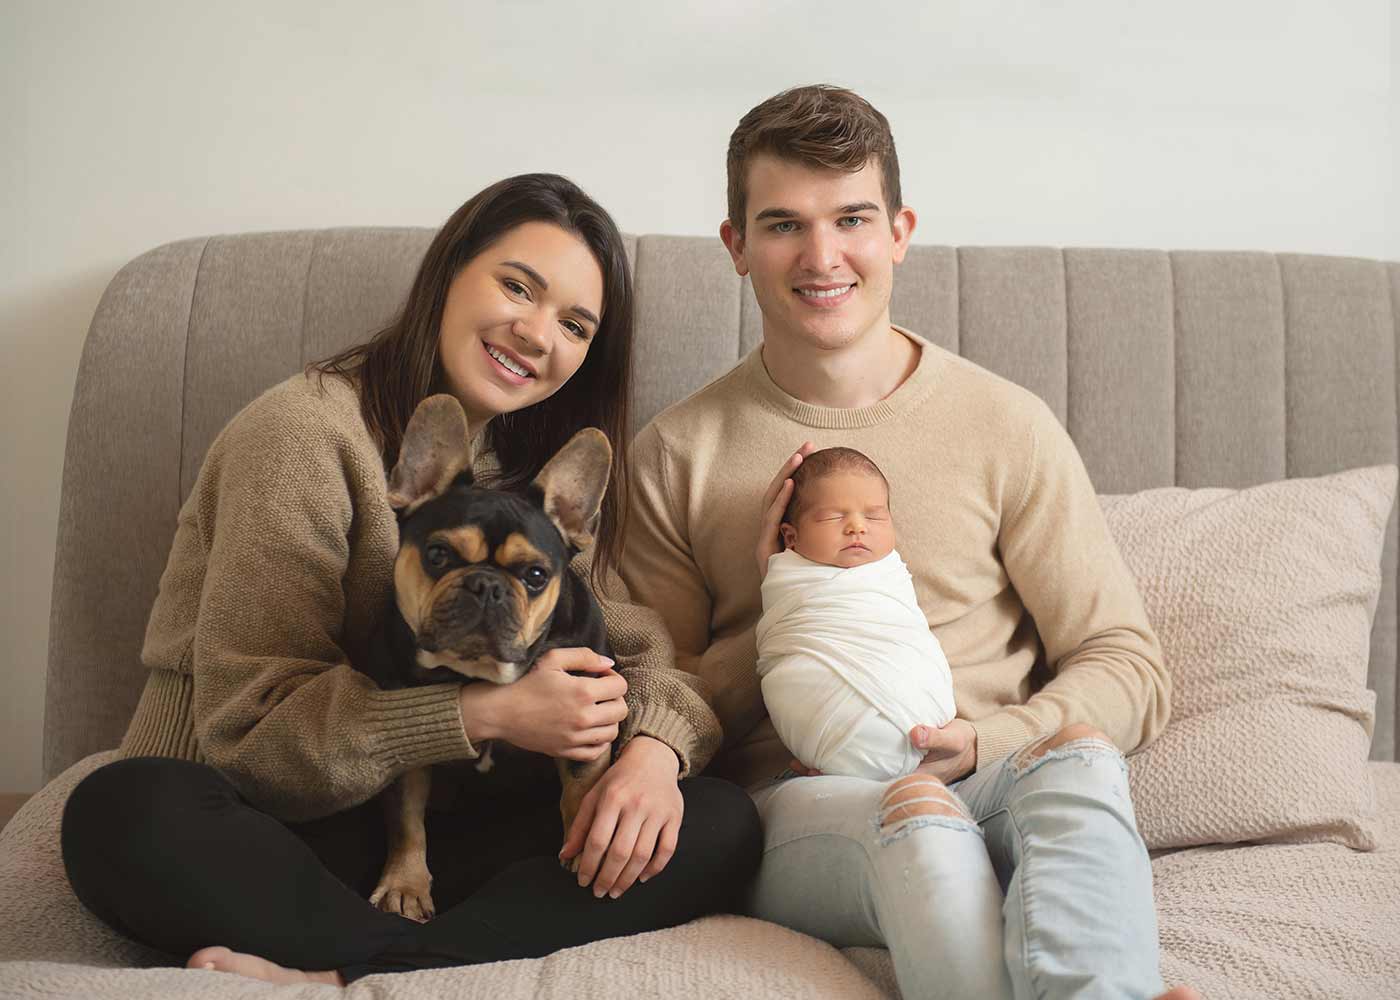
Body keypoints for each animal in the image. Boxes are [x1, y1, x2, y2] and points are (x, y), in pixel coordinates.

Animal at [364, 392, 616, 918]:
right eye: (438, 554)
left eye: (535, 575)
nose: (486, 586)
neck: (476, 673)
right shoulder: (407, 748)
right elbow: (407, 821)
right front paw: (405, 884)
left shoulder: (589, 727)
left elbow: (582, 792)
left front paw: (585, 848)